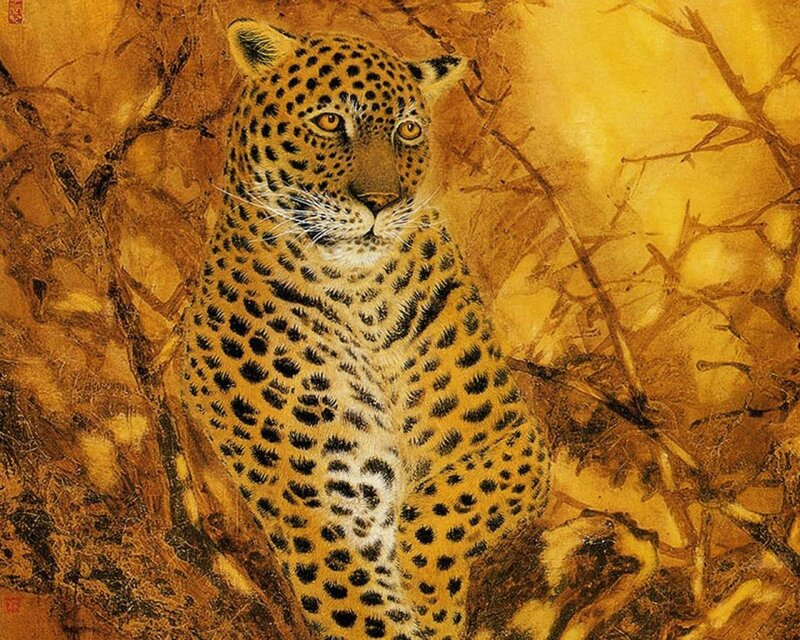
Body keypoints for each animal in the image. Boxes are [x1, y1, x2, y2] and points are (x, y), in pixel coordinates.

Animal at [179, 17, 550, 640]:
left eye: (408, 130)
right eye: (331, 121)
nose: (380, 202)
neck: (362, 295)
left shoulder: (510, 435)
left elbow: (440, 509)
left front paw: (431, 601)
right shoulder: (320, 504)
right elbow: (364, 609)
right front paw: (426, 608)